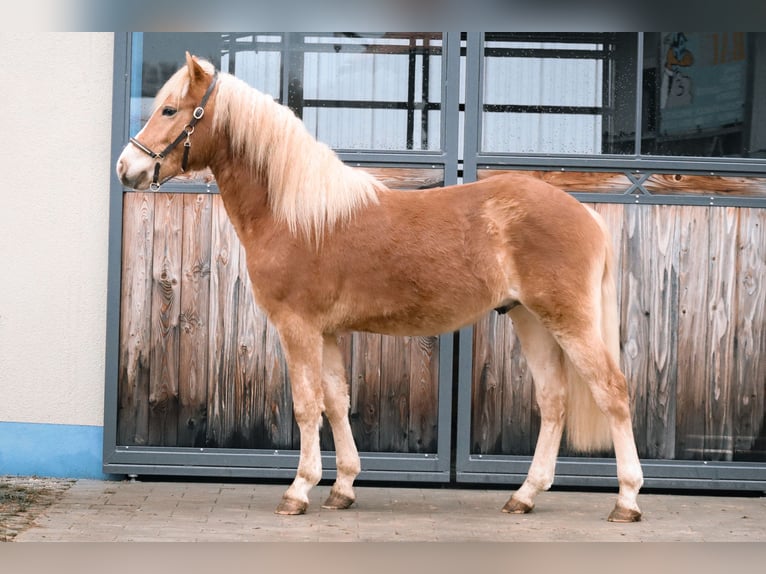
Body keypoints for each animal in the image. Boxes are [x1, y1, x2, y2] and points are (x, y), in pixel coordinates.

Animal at [116, 52, 644, 523]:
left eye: (169, 110)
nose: (125, 168)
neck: (296, 215)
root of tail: (586, 215)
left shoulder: (297, 328)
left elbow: (307, 406)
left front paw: (299, 490)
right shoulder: (327, 332)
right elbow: (336, 402)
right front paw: (343, 487)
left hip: (569, 321)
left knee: (613, 391)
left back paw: (627, 499)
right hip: (529, 318)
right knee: (553, 401)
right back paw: (525, 495)